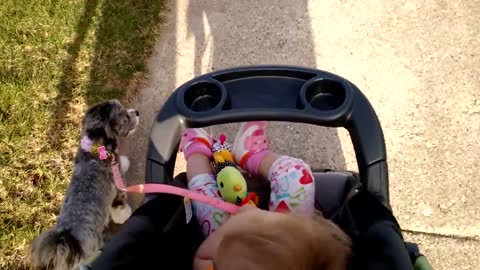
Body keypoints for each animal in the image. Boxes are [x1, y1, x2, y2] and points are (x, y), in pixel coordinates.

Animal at [31, 100, 139, 270]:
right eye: (125, 118)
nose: (137, 112)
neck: (95, 147)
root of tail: (67, 240)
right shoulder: (117, 184)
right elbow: (119, 205)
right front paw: (124, 215)